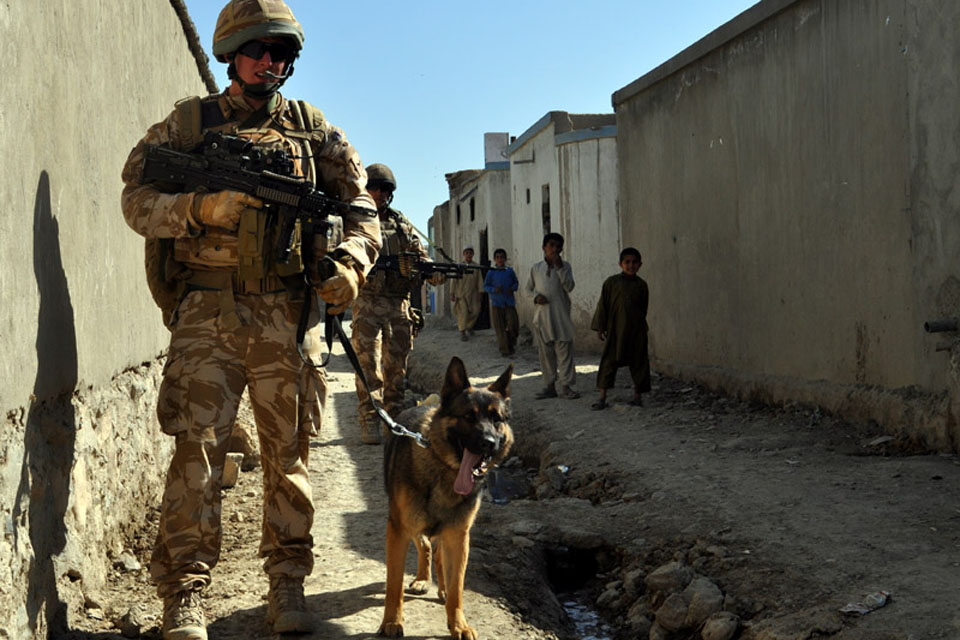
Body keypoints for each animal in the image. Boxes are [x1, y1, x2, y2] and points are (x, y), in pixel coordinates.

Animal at [380, 358, 516, 636]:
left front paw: (458, 624)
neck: (444, 469)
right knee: (424, 545)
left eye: (497, 419)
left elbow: (457, 587)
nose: (488, 443)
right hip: (410, 522)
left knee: (439, 554)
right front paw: (392, 621)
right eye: (468, 416)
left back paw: (439, 587)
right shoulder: (397, 529)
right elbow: (394, 584)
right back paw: (422, 579)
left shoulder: (459, 535)